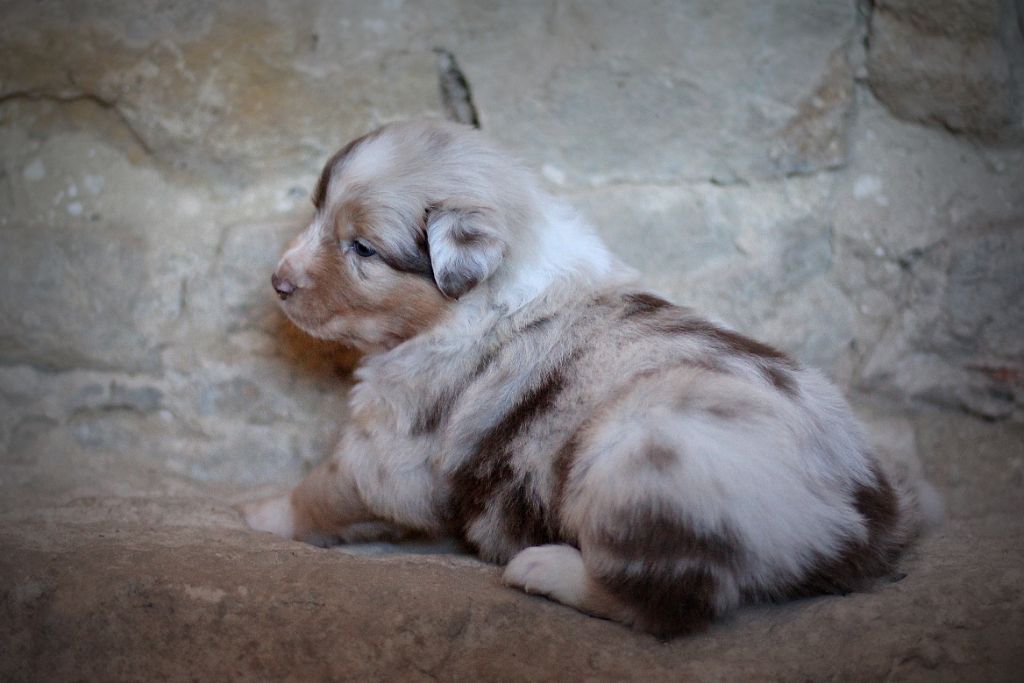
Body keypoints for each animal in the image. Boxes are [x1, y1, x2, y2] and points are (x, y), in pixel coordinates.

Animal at [243, 120, 933, 637]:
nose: (278, 282)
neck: (483, 294)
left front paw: (262, 514)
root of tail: (859, 518)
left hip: (644, 453)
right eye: (316, 212)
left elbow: (324, 488)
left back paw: (544, 568)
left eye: (361, 248)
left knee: (670, 601)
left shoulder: (389, 449)